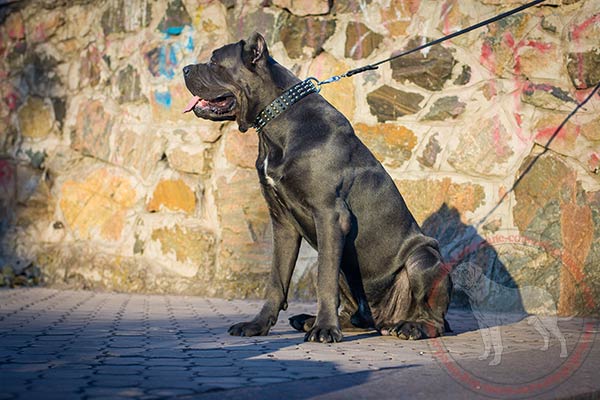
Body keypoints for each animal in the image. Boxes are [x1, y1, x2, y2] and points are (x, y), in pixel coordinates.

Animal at [183, 32, 450, 342]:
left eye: (215, 61)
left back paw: (411, 326)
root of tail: (384, 320)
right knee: (355, 314)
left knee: (435, 319)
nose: (185, 69)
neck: (278, 120)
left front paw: (325, 329)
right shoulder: (282, 222)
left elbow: (325, 280)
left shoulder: (330, 216)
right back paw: (309, 320)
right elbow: (276, 280)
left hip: (423, 258)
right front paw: (257, 325)